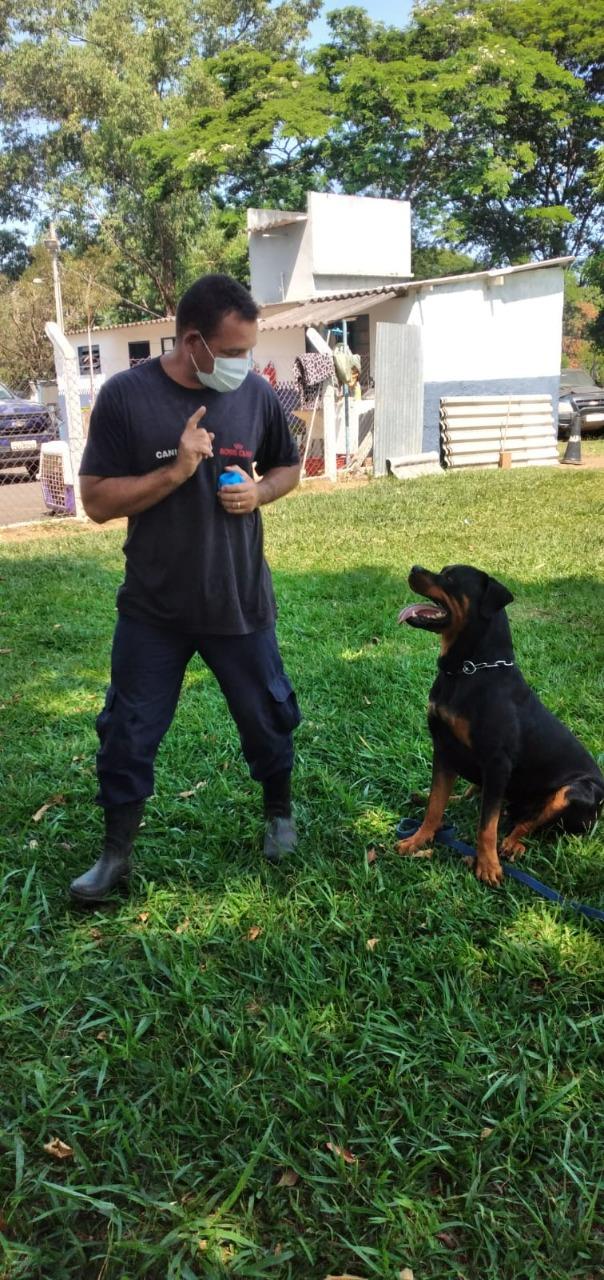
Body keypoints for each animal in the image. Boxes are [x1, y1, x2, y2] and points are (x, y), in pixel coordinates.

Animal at [399, 565, 601, 885]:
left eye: (451, 577)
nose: (414, 568)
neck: (467, 670)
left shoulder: (497, 763)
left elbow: (487, 825)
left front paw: (487, 866)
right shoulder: (443, 749)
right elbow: (435, 804)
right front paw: (418, 839)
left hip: (577, 791)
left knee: (529, 824)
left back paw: (512, 844)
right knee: (476, 798)